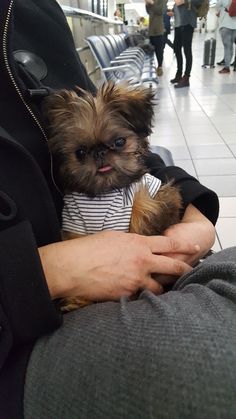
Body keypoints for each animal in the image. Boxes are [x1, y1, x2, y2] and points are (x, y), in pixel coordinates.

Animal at [42, 83, 183, 312]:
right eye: (80, 152)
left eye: (119, 142)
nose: (99, 152)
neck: (104, 192)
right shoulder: (74, 225)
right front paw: (78, 299)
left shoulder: (156, 190)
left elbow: (143, 205)